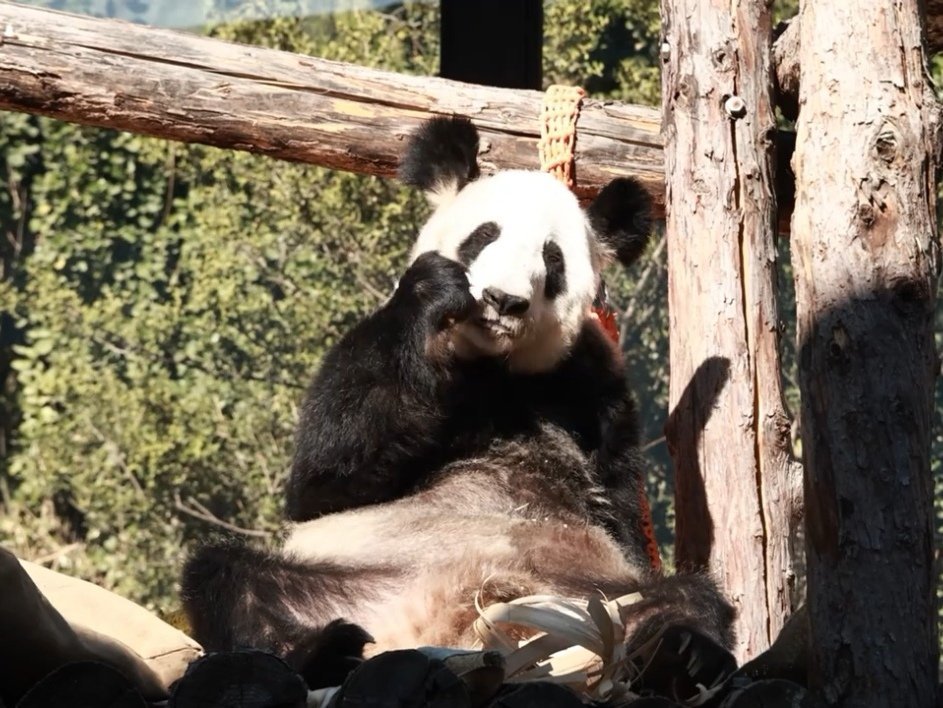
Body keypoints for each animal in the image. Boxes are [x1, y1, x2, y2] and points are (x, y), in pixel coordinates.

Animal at [181, 116, 740, 704]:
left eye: (553, 260)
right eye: (484, 235)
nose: (502, 300)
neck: (492, 367)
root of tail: (450, 628)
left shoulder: (592, 387)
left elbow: (624, 516)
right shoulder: (384, 344)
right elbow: (325, 474)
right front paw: (436, 289)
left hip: (592, 599)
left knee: (688, 598)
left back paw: (680, 654)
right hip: (351, 578)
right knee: (231, 578)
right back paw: (323, 650)